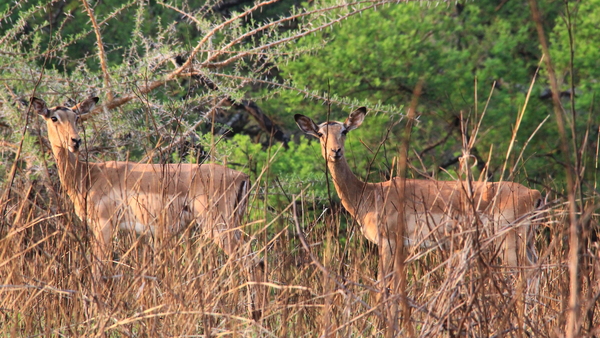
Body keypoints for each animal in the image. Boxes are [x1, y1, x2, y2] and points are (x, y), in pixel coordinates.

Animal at [32, 95, 262, 316]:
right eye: (54, 118)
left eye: (76, 117)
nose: (75, 141)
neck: (87, 176)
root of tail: (242, 177)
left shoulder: (104, 226)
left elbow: (100, 271)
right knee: (254, 259)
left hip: (217, 226)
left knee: (247, 261)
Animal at [296, 107, 544, 286]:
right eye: (320, 133)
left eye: (344, 131)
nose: (335, 151)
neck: (369, 194)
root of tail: (534, 193)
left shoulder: (389, 243)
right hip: (527, 242)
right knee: (538, 269)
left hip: (509, 242)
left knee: (527, 273)